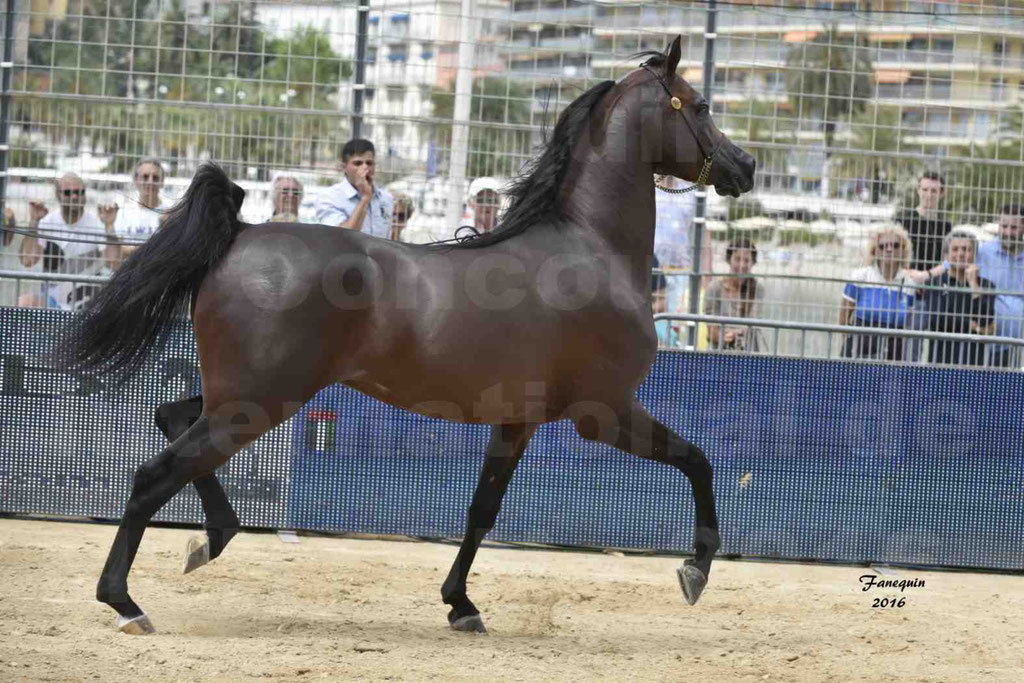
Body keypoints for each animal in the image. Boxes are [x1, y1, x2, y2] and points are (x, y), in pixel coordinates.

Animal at [61, 37, 753, 634]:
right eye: (700, 105)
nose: (745, 167)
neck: (590, 249)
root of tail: (244, 231)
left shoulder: (518, 421)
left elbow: (482, 511)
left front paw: (461, 605)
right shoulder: (604, 412)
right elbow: (700, 460)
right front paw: (695, 570)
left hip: (244, 394)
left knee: (170, 419)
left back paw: (210, 540)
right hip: (259, 400)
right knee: (155, 473)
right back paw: (126, 602)